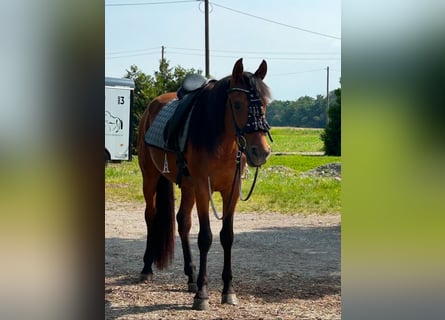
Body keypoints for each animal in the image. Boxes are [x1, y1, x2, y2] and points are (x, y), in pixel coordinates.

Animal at [137, 58, 272, 310]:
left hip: (187, 186)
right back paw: (147, 269)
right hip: (150, 177)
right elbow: (205, 238)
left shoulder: (232, 191)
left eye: (265, 103)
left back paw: (190, 276)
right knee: (151, 215)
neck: (222, 142)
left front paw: (228, 290)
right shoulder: (203, 188)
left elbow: (227, 236)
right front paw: (202, 294)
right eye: (237, 104)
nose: (260, 152)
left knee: (183, 222)